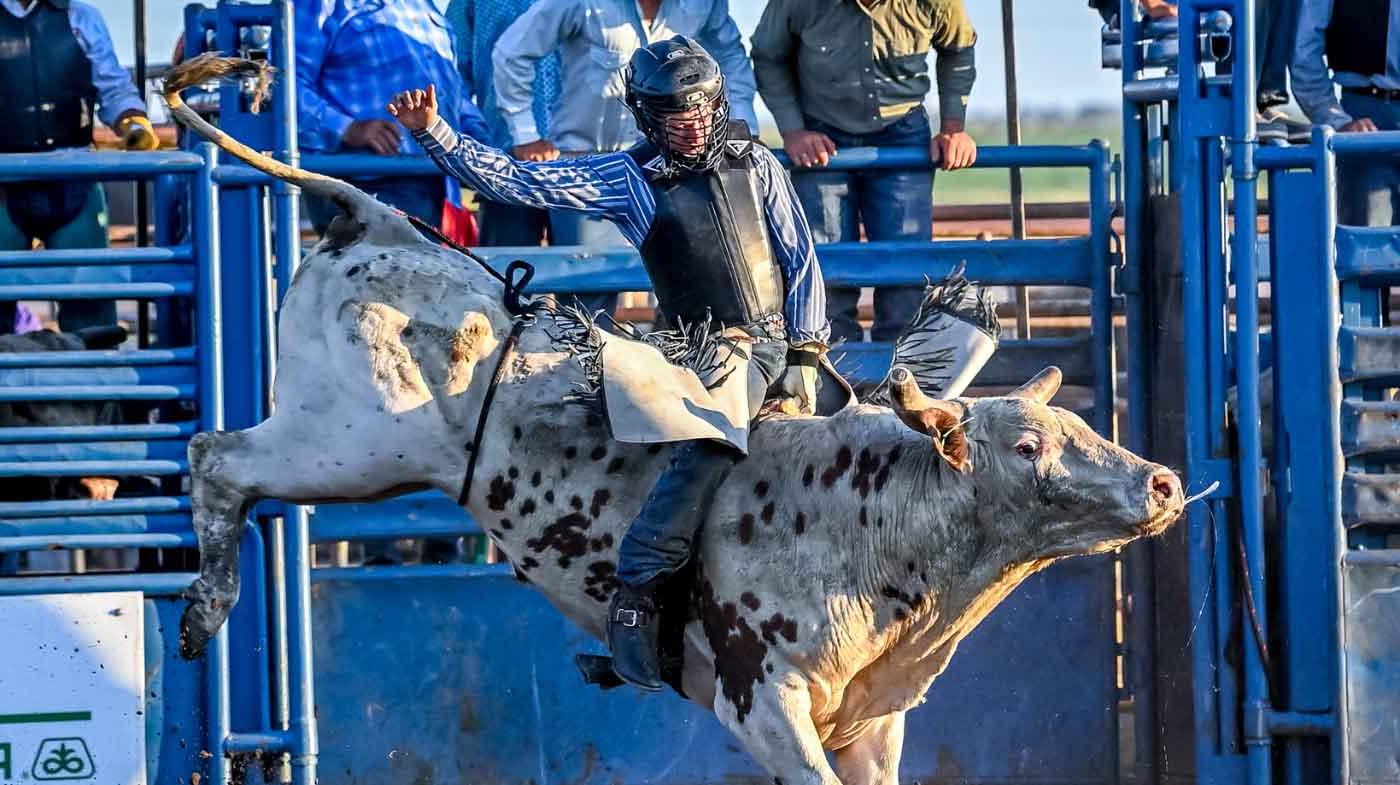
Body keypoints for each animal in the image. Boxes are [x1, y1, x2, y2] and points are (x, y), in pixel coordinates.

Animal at [166, 56, 1192, 783]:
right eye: (1027, 443)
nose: (1163, 481)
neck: (870, 515)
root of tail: (369, 219)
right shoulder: (764, 704)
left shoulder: (874, 721)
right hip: (342, 444)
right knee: (216, 455)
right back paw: (203, 609)